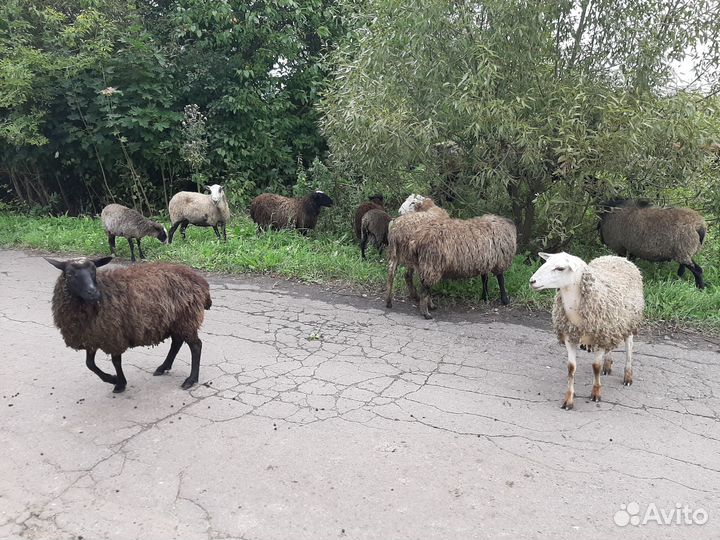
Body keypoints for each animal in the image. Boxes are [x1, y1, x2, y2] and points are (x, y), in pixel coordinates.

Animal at [46, 256, 212, 393]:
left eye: (93, 271)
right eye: (69, 274)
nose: (93, 292)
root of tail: (201, 281)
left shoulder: (113, 334)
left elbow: (115, 361)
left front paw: (119, 382)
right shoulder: (92, 335)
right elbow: (90, 364)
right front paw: (113, 379)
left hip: (186, 318)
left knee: (196, 346)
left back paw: (191, 380)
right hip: (175, 321)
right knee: (177, 343)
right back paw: (163, 367)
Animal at [386, 210, 517, 319]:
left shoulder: (485, 260)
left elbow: (485, 279)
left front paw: (485, 297)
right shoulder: (499, 260)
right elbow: (501, 279)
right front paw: (505, 300)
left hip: (404, 257)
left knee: (395, 274)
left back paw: (391, 301)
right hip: (430, 263)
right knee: (424, 286)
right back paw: (426, 312)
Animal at [529, 252, 645, 410]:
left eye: (560, 268)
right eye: (546, 263)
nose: (532, 281)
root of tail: (615, 257)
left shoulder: (600, 337)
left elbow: (596, 366)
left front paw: (596, 393)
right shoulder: (570, 337)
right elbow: (571, 368)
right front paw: (568, 400)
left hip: (628, 322)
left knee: (629, 348)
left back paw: (628, 376)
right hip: (611, 328)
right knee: (610, 348)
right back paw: (607, 365)